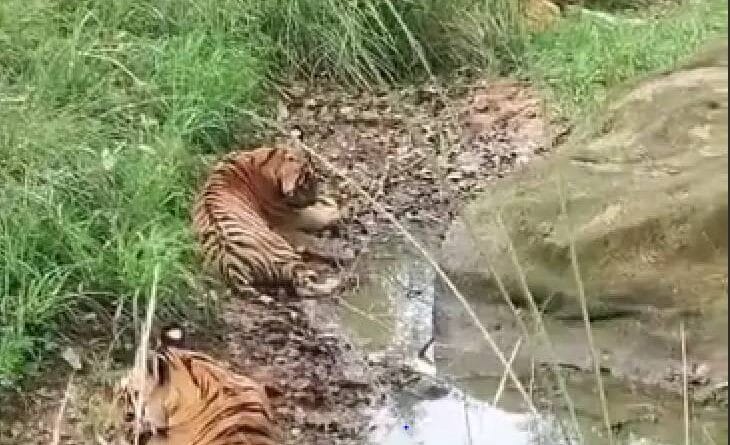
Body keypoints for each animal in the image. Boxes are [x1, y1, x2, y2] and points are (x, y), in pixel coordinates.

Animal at [192, 146, 341, 299]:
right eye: (305, 183)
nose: (313, 200)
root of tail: (232, 267)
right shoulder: (291, 216)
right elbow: (318, 214)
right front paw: (333, 209)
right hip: (285, 251)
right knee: (305, 285)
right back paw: (334, 282)